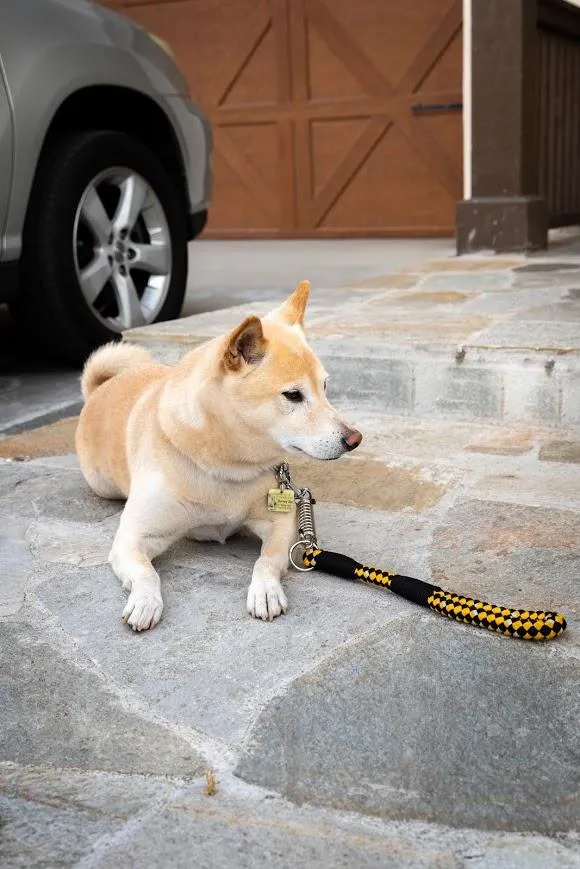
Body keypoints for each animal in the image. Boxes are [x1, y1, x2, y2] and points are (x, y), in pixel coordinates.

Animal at [75, 284, 360, 632]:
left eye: (325, 387)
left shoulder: (281, 525)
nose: (354, 439)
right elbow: (146, 573)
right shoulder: (133, 538)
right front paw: (144, 601)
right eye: (293, 395)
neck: (225, 467)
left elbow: (266, 560)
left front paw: (265, 590)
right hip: (101, 484)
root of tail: (99, 390)